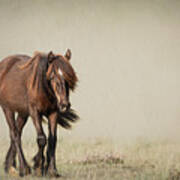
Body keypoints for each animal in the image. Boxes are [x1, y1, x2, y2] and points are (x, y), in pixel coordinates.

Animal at [0, 49, 78, 177]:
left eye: (68, 77)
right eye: (52, 76)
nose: (64, 104)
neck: (42, 88)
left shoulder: (53, 113)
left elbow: (52, 140)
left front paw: (52, 170)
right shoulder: (34, 112)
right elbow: (42, 139)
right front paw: (37, 167)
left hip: (23, 113)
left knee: (16, 133)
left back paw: (10, 167)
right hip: (8, 109)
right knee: (15, 134)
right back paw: (24, 168)